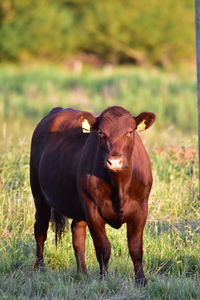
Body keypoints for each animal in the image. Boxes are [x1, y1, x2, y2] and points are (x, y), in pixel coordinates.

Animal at [30, 106, 155, 286]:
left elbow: (136, 248)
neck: (119, 186)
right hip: (39, 194)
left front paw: (141, 281)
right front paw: (104, 279)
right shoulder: (92, 209)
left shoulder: (141, 209)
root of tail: (58, 110)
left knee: (77, 233)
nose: (115, 162)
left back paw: (82, 273)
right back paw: (39, 267)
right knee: (40, 229)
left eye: (130, 131)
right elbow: (103, 248)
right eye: (101, 133)